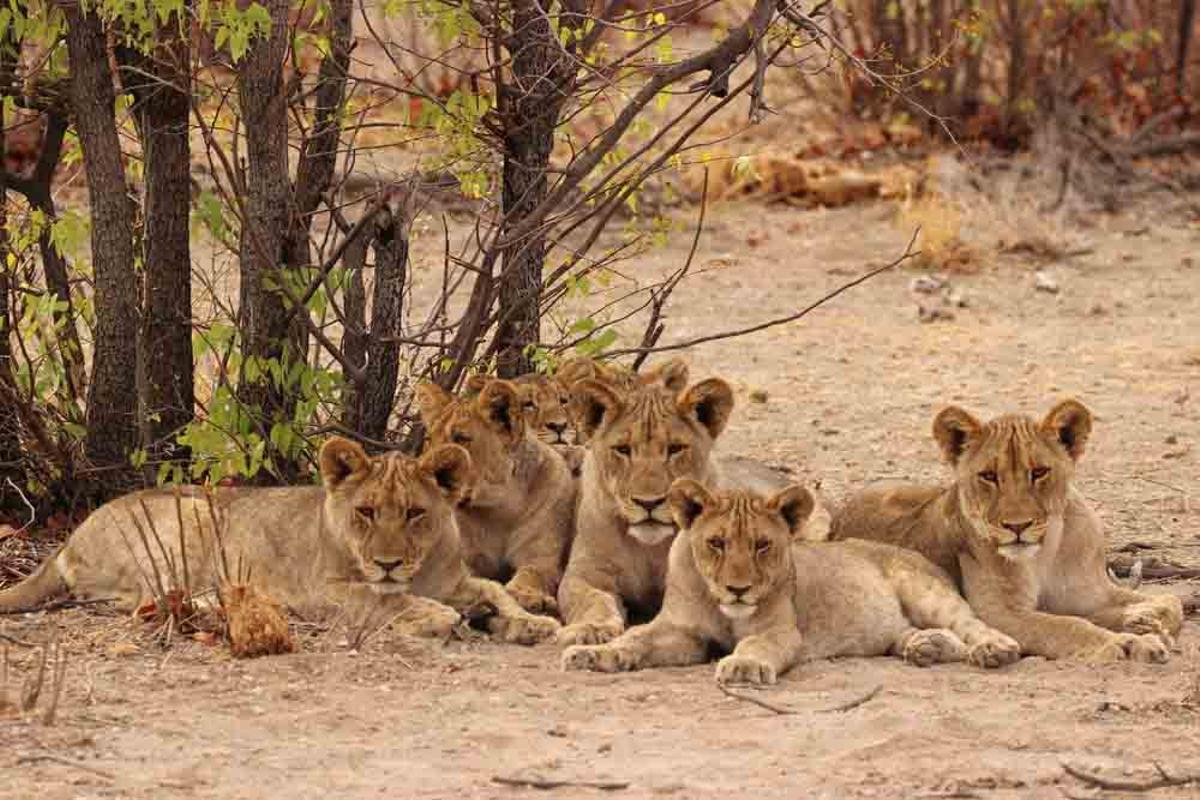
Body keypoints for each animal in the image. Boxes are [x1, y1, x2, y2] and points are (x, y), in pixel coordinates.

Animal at [0, 438, 559, 642]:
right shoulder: (323, 589)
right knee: (144, 601)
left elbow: (497, 589)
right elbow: (388, 602)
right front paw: (438, 617)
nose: (387, 563)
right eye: (365, 512)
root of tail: (69, 538)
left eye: (415, 513)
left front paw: (532, 622)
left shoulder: (455, 579)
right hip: (193, 512)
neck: (420, 569)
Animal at [417, 379, 576, 618]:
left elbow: (532, 574)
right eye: (429, 439)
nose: (423, 471)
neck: (499, 509)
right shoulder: (465, 560)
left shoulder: (543, 559)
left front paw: (528, 596)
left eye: (460, 439)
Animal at [564, 479, 1022, 686]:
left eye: (762, 545)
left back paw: (994, 650)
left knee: (971, 624)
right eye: (716, 543)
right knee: (924, 635)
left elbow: (757, 645)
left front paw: (744, 666)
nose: (738, 589)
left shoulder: (780, 631)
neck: (720, 606)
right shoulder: (681, 632)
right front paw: (592, 654)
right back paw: (924, 646)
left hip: (925, 591)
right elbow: (635, 639)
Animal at [830, 400, 1185, 662]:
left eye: (1039, 472)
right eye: (988, 476)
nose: (1017, 526)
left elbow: (1172, 602)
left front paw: (1145, 621)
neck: (1046, 552)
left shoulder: (1091, 592)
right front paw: (1126, 641)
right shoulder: (1001, 615)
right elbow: (1068, 626)